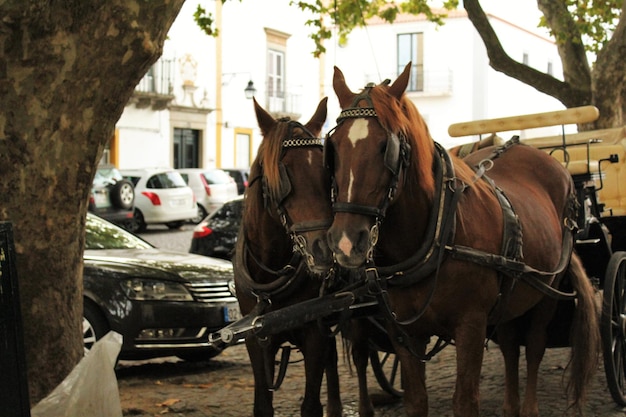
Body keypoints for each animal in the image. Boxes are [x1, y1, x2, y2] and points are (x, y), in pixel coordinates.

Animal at [234, 98, 342, 416]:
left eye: (326, 173)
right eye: (283, 176)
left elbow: (311, 406)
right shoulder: (255, 339)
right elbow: (262, 405)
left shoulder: (314, 332)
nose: (325, 248)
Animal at [324, 62, 596, 416]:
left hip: (547, 289)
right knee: (511, 344)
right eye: (333, 149)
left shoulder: (471, 325)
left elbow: (465, 400)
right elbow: (416, 400)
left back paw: (528, 407)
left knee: (534, 346)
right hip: (512, 292)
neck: (440, 228)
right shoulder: (405, 333)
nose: (345, 242)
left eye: (387, 147)